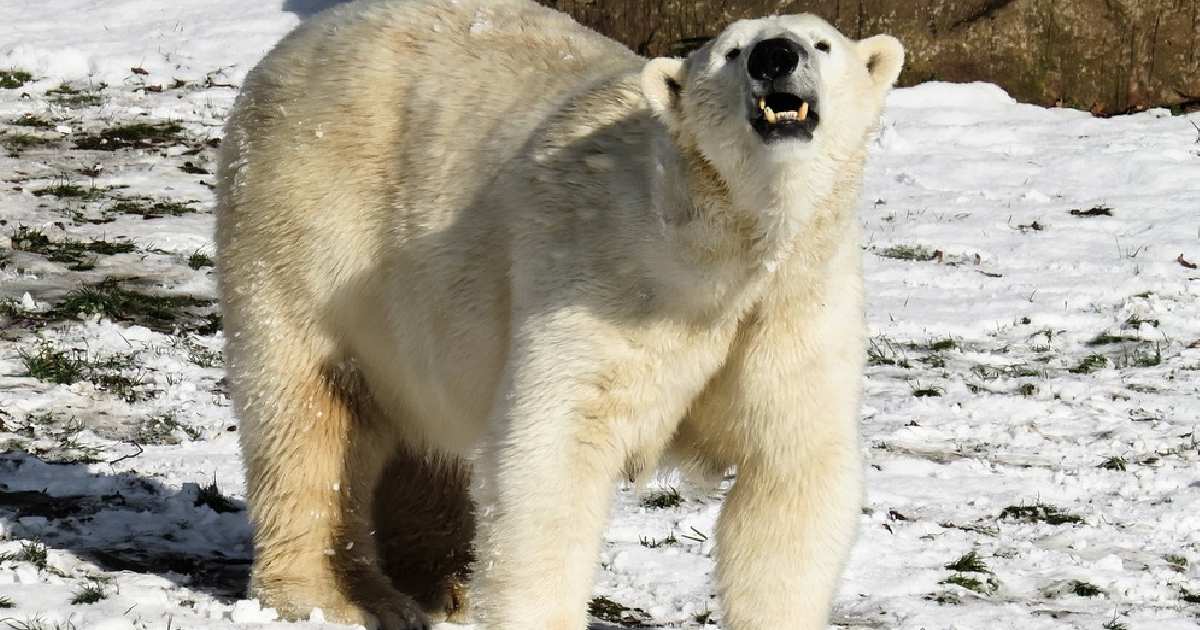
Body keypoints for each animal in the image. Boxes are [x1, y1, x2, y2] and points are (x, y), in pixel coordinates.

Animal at [216, 0, 902, 624]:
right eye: (731, 52)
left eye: (821, 43)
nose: (774, 56)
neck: (721, 250)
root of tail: (298, 39)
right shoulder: (604, 279)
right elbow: (554, 454)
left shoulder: (791, 305)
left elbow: (792, 471)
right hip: (306, 228)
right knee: (312, 413)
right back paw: (334, 596)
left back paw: (442, 583)